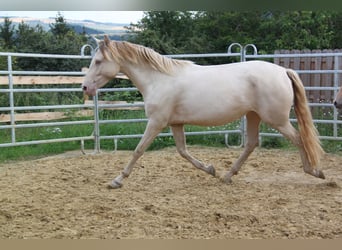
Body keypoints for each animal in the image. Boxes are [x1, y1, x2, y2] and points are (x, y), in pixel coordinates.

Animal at [81, 34, 324, 188]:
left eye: (98, 61)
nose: (85, 87)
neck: (159, 79)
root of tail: (284, 71)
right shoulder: (175, 123)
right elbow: (183, 151)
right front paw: (210, 169)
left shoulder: (157, 122)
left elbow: (138, 150)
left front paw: (117, 180)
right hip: (253, 115)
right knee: (252, 144)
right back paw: (227, 176)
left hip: (276, 120)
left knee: (299, 139)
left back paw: (315, 172)